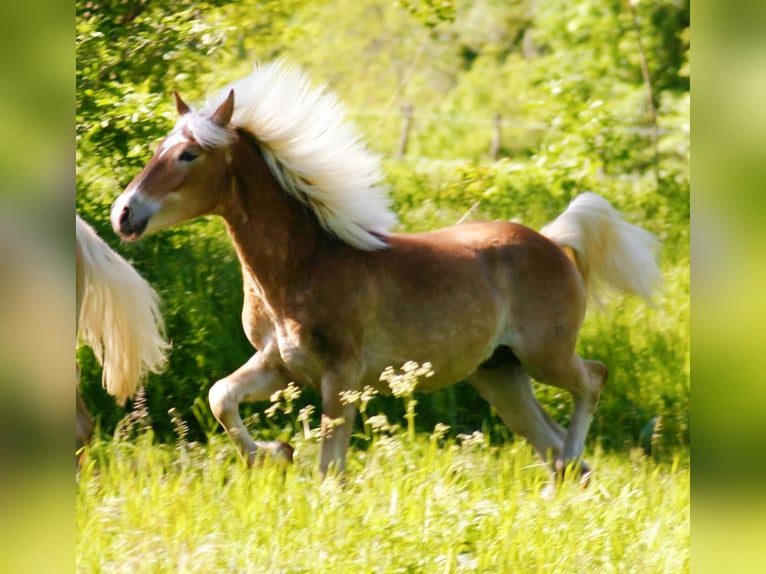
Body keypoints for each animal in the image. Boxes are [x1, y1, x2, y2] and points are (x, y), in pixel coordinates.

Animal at [111, 60, 664, 480]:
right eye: (157, 149)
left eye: (188, 154)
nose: (124, 214)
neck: (302, 265)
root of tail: (550, 240)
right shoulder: (278, 365)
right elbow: (221, 396)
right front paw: (276, 454)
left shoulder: (341, 377)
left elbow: (329, 467)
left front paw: (289, 464)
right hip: (499, 372)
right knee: (552, 443)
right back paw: (562, 481)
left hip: (544, 354)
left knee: (592, 380)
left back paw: (570, 461)